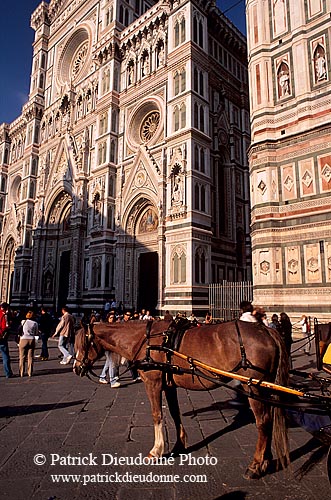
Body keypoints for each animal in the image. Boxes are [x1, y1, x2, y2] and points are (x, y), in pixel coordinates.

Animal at [74, 318, 290, 478]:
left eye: (83, 344)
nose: (76, 368)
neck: (144, 341)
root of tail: (267, 331)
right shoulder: (169, 384)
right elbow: (174, 413)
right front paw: (179, 445)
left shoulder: (153, 381)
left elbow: (157, 414)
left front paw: (156, 451)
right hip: (266, 387)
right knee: (270, 419)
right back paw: (266, 461)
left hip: (253, 385)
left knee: (263, 421)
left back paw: (255, 466)